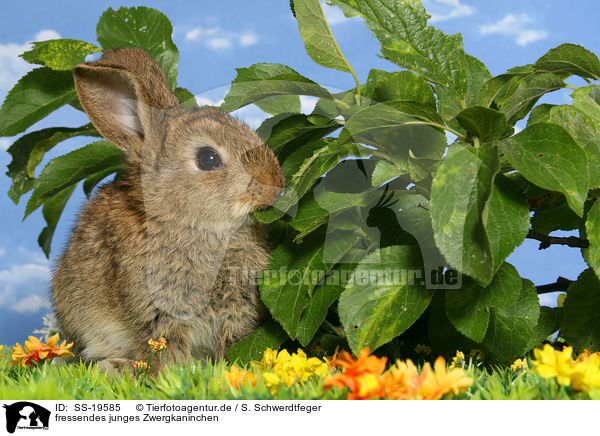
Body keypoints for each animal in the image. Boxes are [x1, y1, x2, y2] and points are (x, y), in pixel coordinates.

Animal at [51, 47, 284, 374]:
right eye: (208, 158)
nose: (275, 184)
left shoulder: (237, 309)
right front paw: (173, 377)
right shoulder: (160, 315)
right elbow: (166, 354)